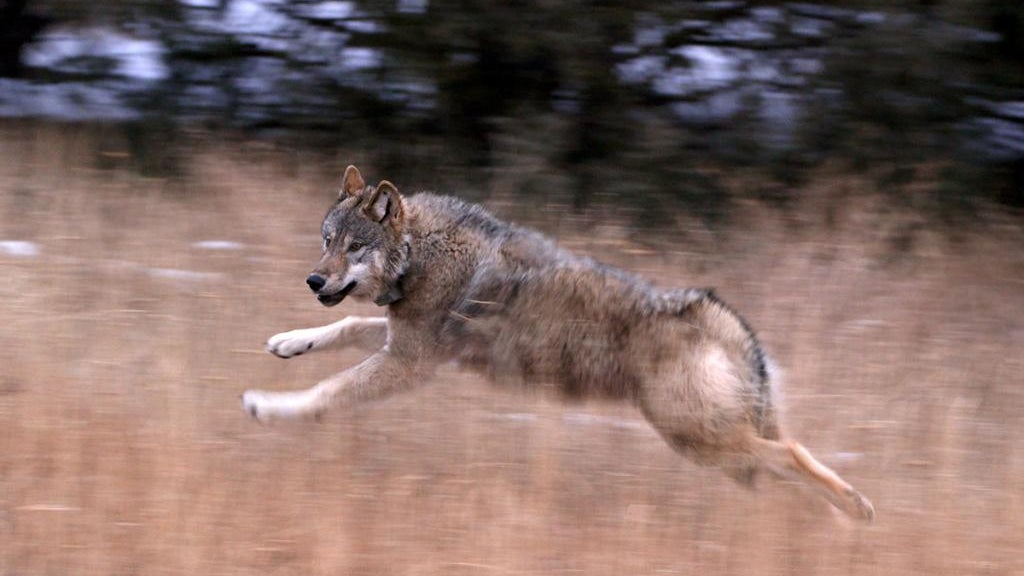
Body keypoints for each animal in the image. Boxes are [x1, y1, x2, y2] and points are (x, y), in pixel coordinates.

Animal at [241, 165, 875, 522]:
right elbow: (344, 329)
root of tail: (720, 315)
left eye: (354, 248)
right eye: (326, 240)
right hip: (719, 448)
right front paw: (288, 342)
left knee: (793, 454)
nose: (313, 281)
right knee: (783, 462)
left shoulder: (409, 363)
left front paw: (269, 407)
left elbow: (327, 392)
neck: (420, 253)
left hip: (698, 439)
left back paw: (857, 510)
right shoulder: (404, 341)